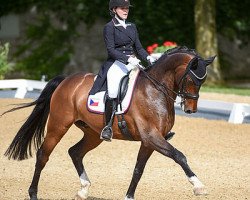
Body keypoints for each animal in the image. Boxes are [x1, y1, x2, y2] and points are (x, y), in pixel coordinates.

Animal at [2, 46, 215, 199]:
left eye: (202, 82)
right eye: (192, 80)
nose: (190, 110)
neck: (155, 90)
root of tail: (66, 80)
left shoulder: (149, 141)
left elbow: (138, 169)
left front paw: (129, 197)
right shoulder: (151, 136)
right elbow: (179, 156)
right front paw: (199, 186)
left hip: (93, 133)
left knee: (75, 152)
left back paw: (83, 189)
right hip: (58, 126)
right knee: (43, 155)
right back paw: (33, 193)